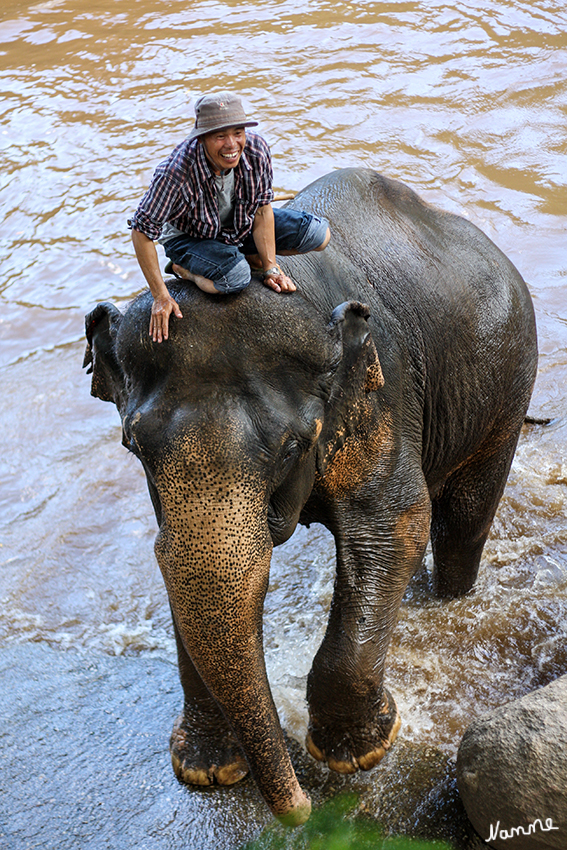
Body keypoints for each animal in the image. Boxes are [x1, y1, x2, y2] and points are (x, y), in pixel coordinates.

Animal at [83, 166, 536, 820]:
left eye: (294, 446)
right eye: (133, 445)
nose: (302, 809)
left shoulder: (379, 393)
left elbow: (394, 525)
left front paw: (356, 757)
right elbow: (177, 565)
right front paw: (208, 772)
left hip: (506, 385)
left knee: (461, 519)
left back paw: (445, 599)